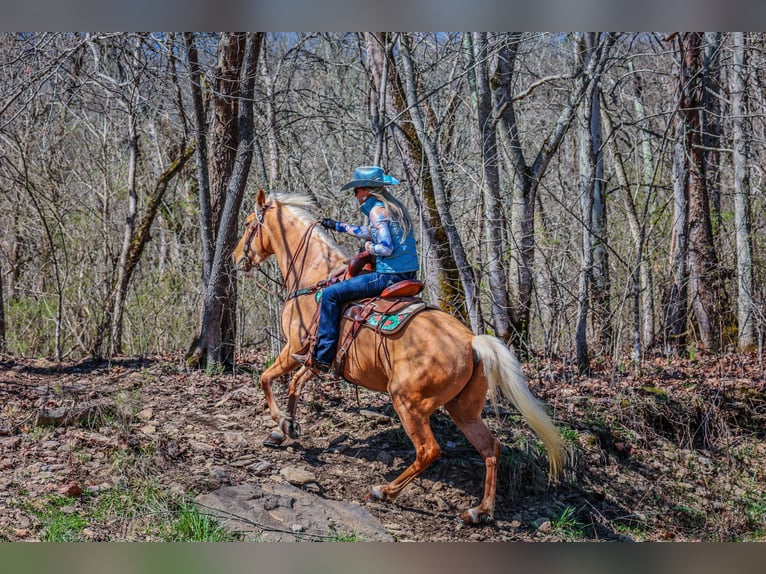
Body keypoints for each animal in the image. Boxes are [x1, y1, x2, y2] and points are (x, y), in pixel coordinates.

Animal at [234, 190, 564, 528]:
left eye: (247, 224)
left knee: (429, 450)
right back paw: (479, 510)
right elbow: (294, 386)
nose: (235, 258)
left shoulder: (293, 348)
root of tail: (472, 342)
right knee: (490, 447)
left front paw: (279, 421)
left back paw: (384, 491)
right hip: (464, 411)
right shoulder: (315, 359)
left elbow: (267, 379)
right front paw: (285, 428)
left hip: (408, 402)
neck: (316, 277)